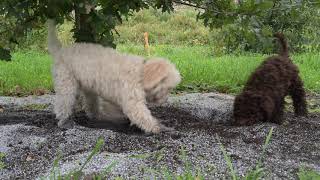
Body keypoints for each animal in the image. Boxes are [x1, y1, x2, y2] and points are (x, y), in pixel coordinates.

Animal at [48, 19, 181, 134]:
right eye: (167, 88)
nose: (165, 101)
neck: (140, 73)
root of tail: (60, 51)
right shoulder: (132, 101)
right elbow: (142, 116)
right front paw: (158, 127)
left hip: (89, 88)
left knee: (90, 103)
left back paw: (97, 116)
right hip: (66, 83)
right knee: (63, 103)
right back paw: (64, 121)